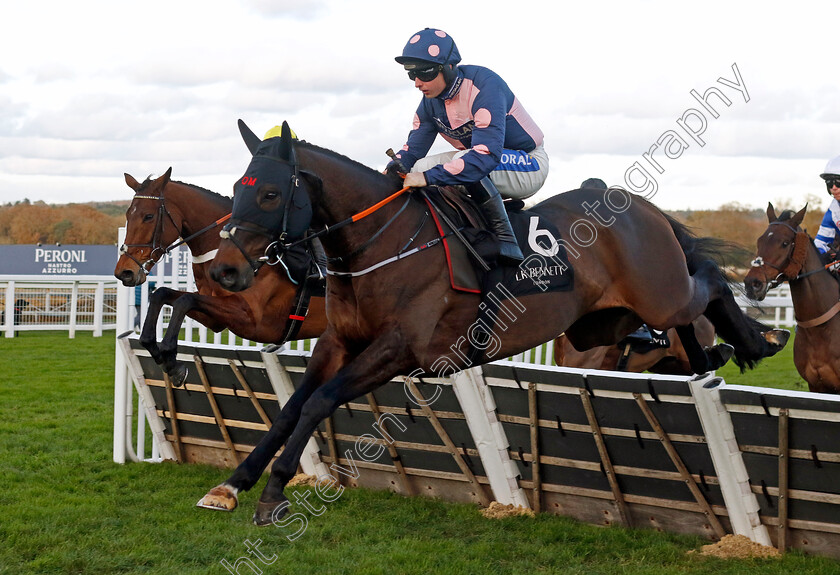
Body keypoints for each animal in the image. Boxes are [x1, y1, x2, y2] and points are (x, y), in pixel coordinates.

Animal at [114, 168, 328, 382]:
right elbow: (163, 293)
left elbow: (184, 300)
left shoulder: (253, 319)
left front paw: (170, 357)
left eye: (148, 216)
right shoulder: (215, 319)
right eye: (127, 214)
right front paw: (154, 347)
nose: (124, 272)